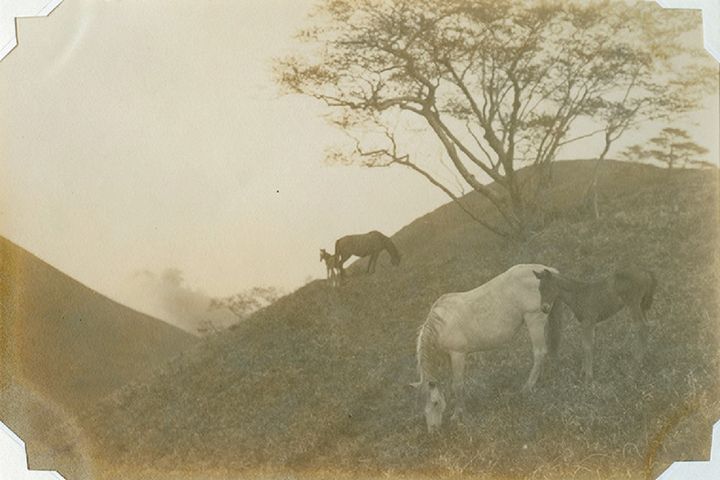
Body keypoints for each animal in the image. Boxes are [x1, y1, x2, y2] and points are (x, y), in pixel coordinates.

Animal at [411, 264, 561, 433]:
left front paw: (460, 416)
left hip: (534, 320)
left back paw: (527, 388)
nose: (433, 431)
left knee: (539, 353)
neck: (440, 324)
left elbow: (458, 385)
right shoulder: (450, 357)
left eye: (435, 402)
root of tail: (547, 270)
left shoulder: (458, 355)